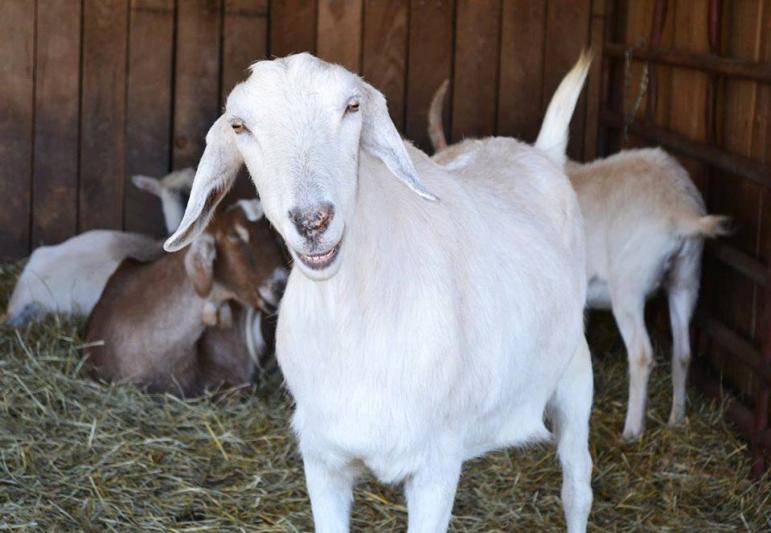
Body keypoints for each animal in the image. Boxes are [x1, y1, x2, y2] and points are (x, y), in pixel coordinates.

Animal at [166, 51, 596, 532]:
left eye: (352, 107)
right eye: (239, 126)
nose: (313, 221)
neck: (355, 324)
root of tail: (539, 153)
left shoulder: (436, 464)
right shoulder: (322, 461)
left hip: (575, 372)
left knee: (577, 486)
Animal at [428, 81, 728, 436]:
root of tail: (680, 210)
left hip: (628, 287)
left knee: (641, 353)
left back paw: (631, 431)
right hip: (686, 279)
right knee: (683, 353)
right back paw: (676, 419)